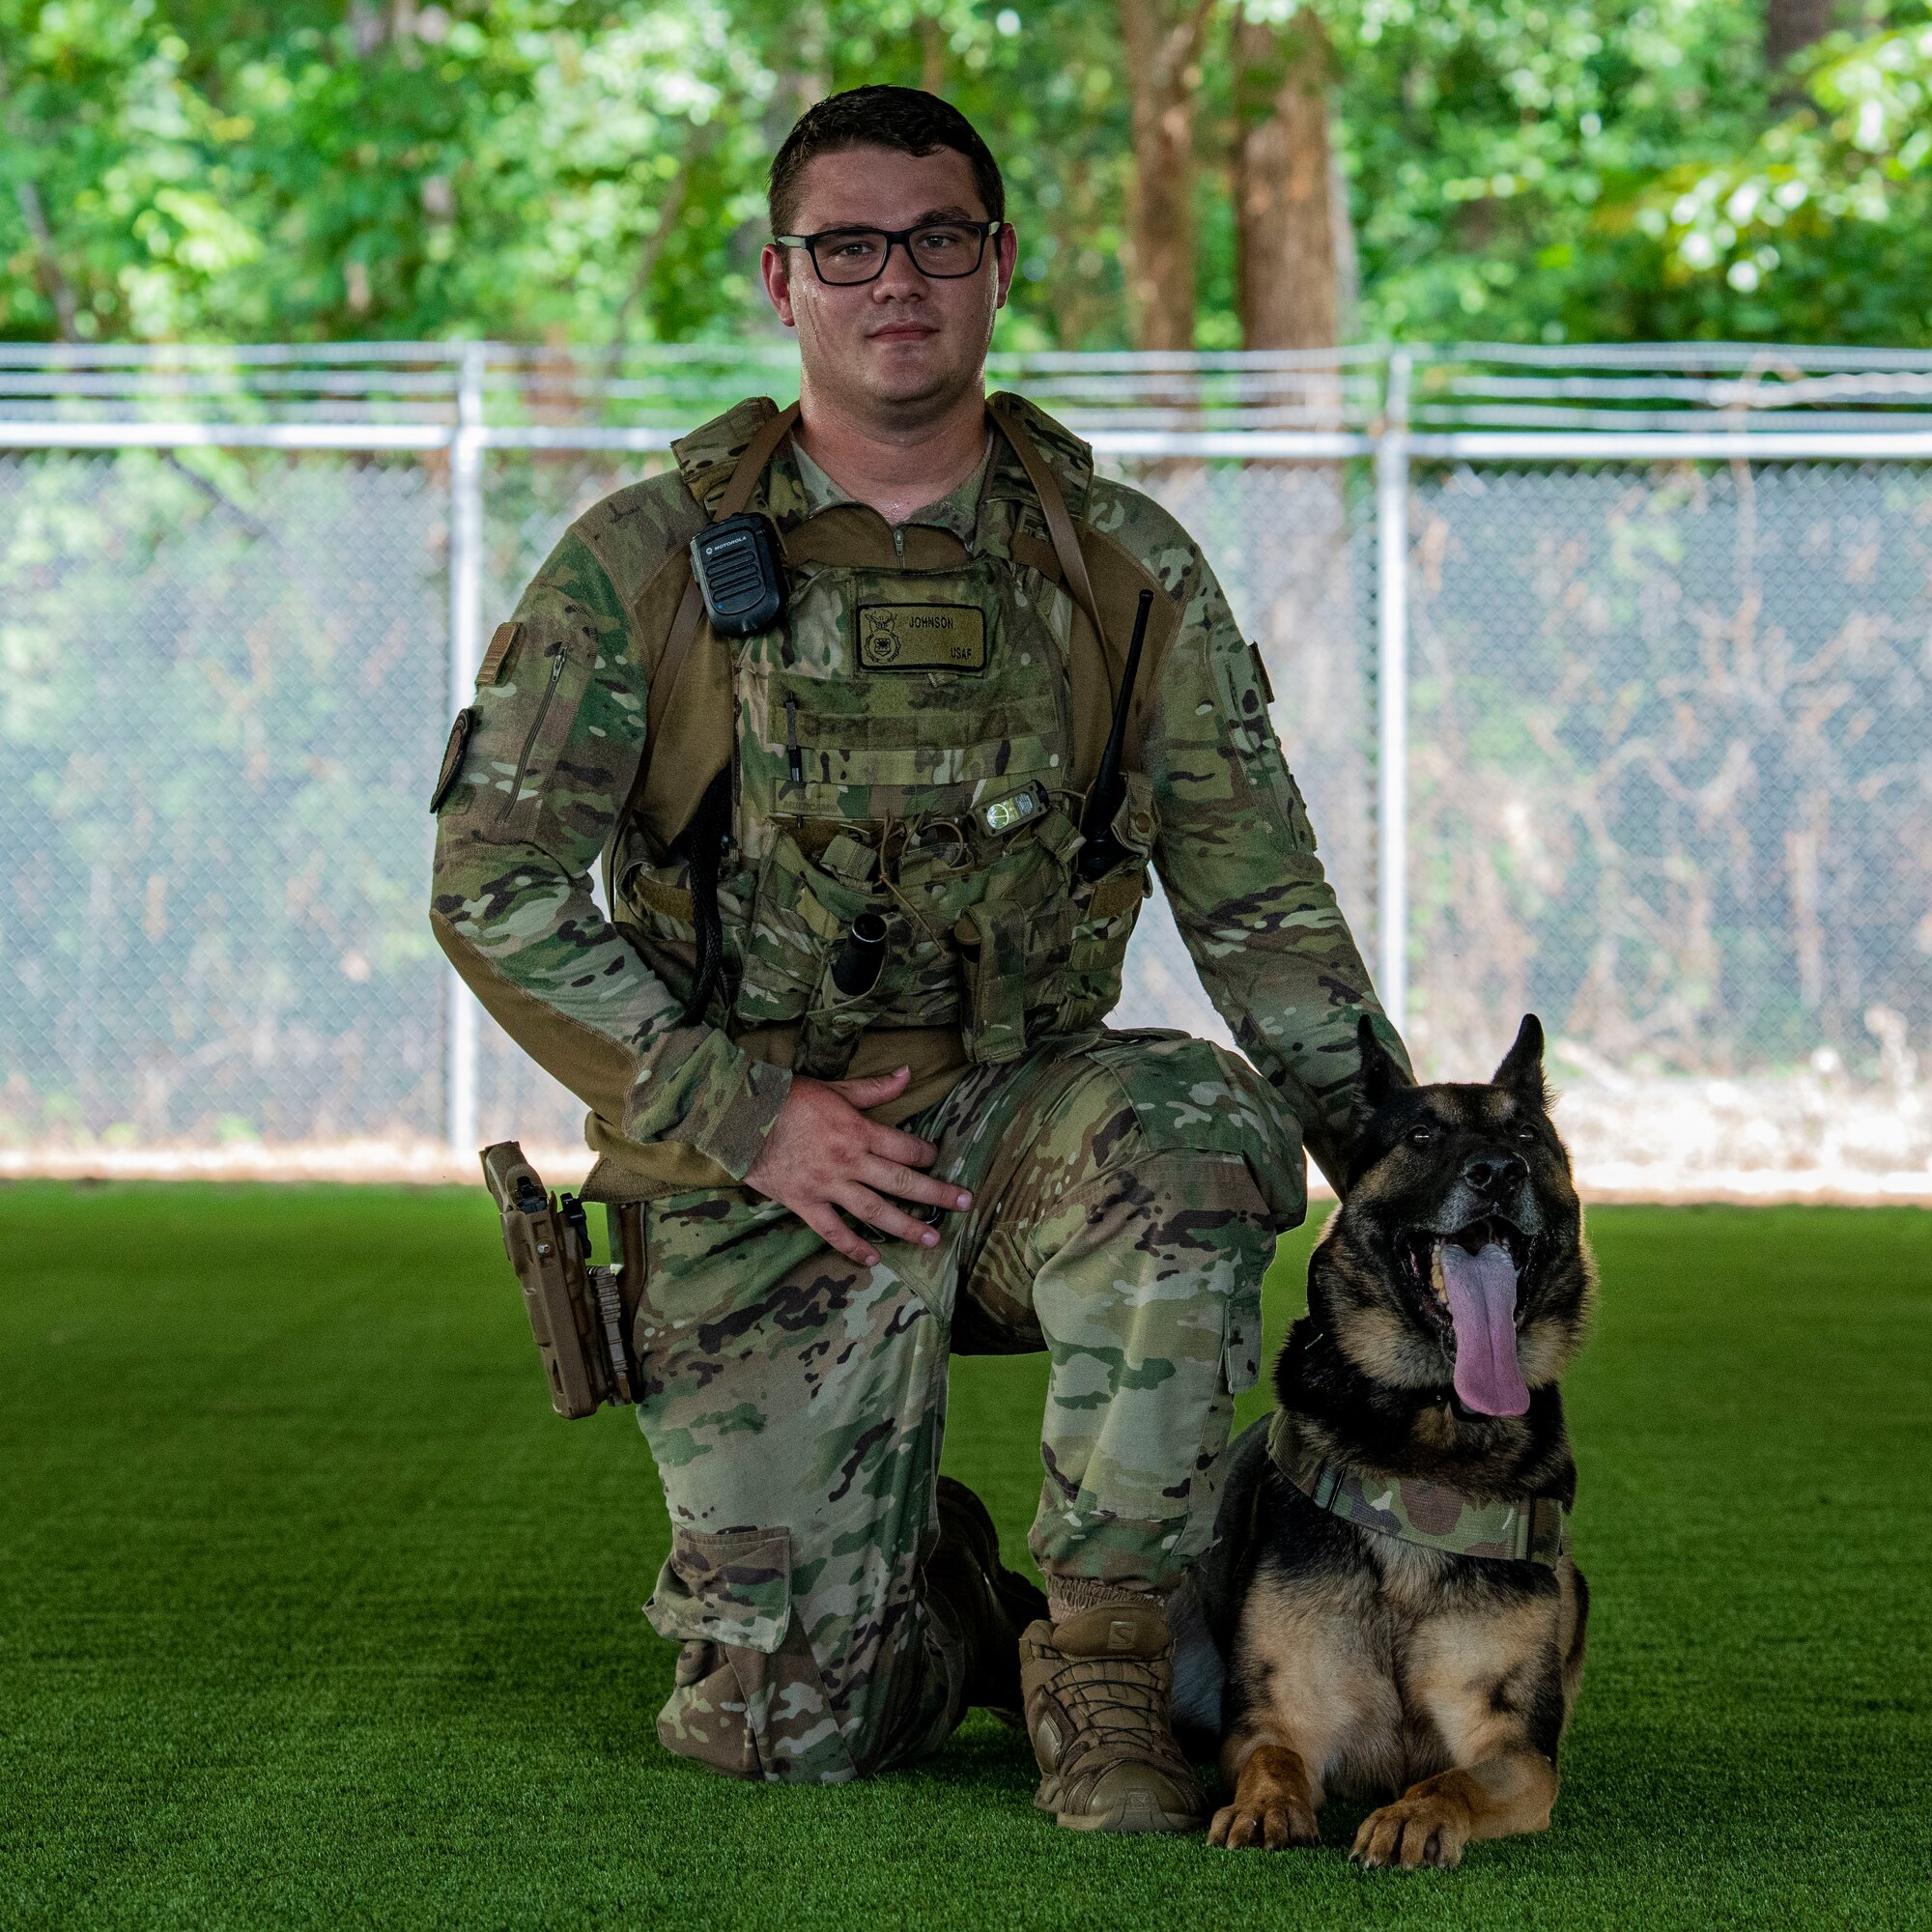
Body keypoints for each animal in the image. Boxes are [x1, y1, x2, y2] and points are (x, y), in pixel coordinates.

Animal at [1198, 1020, 1592, 1862]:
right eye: (1420, 1136)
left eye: (1525, 1135)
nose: (1497, 1172)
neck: (1433, 1430)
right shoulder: (1275, 1719)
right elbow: (1275, 1758)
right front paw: (1265, 1807)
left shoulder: (1516, 1751)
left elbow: (1452, 1780)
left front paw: (1414, 1816)